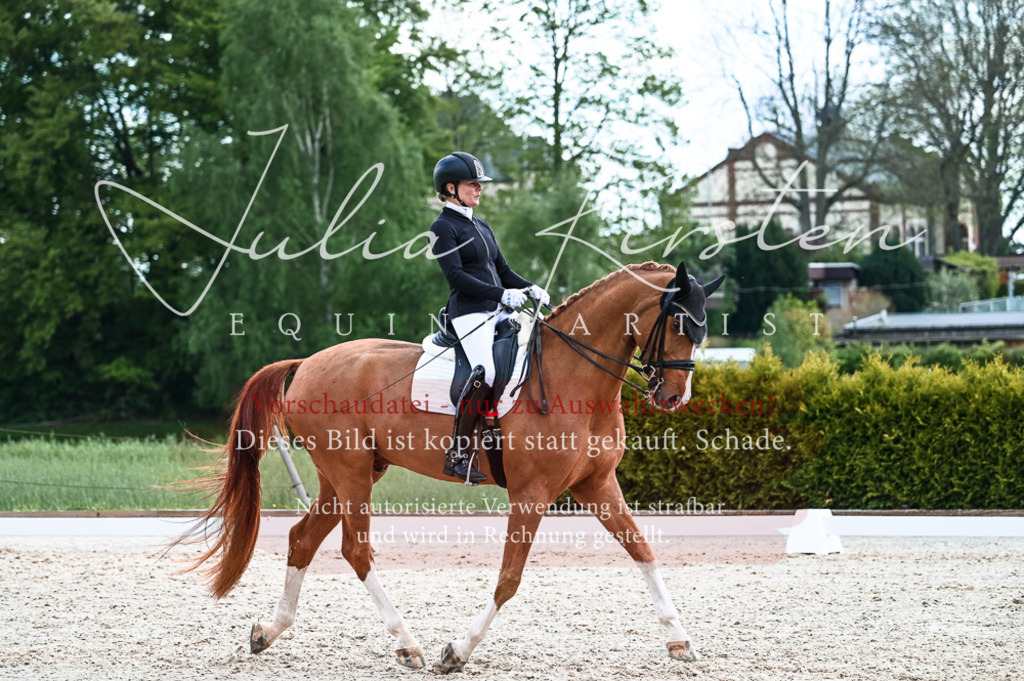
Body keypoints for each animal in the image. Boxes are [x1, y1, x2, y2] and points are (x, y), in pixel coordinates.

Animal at [183, 260, 723, 673]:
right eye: (680, 324)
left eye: (702, 327)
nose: (675, 398)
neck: (574, 378)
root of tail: (306, 363)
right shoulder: (532, 494)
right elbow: (509, 578)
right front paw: (456, 651)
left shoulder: (596, 484)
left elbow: (643, 551)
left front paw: (679, 641)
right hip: (352, 474)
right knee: (356, 551)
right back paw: (408, 644)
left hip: (347, 475)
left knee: (302, 539)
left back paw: (267, 632)